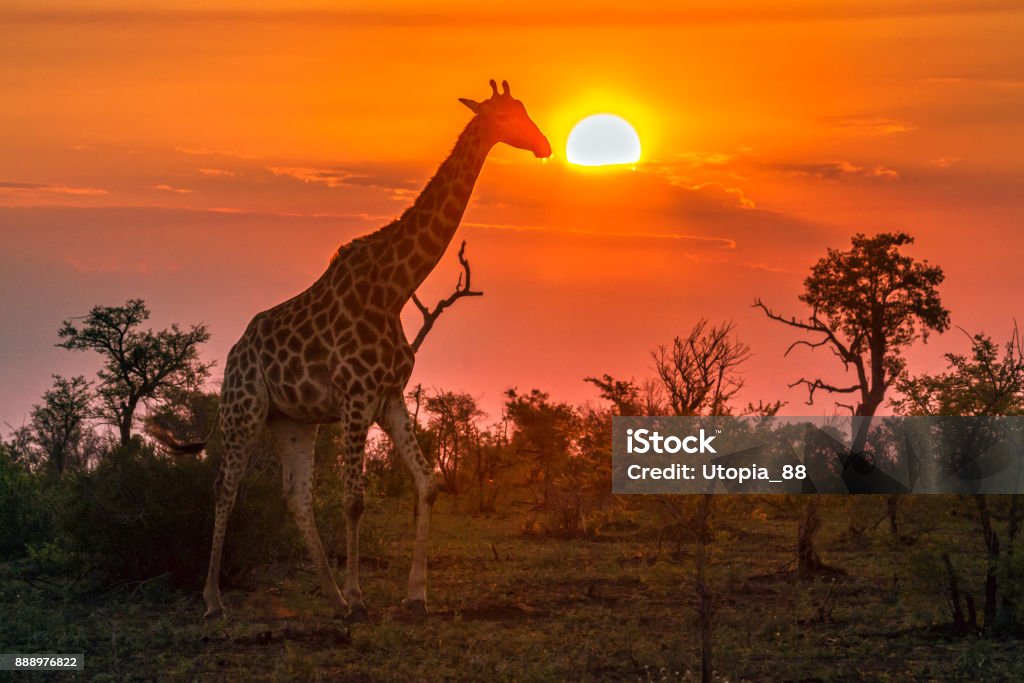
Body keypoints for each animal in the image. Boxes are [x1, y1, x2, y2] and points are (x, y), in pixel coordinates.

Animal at [152, 78, 552, 618]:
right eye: (507, 117)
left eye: (525, 110)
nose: (544, 144)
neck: (394, 288)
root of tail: (234, 354)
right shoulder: (356, 397)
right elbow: (355, 499)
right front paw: (363, 598)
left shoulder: (389, 397)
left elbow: (428, 484)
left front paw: (415, 595)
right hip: (245, 409)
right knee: (225, 487)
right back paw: (216, 600)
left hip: (292, 420)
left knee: (295, 495)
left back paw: (331, 594)